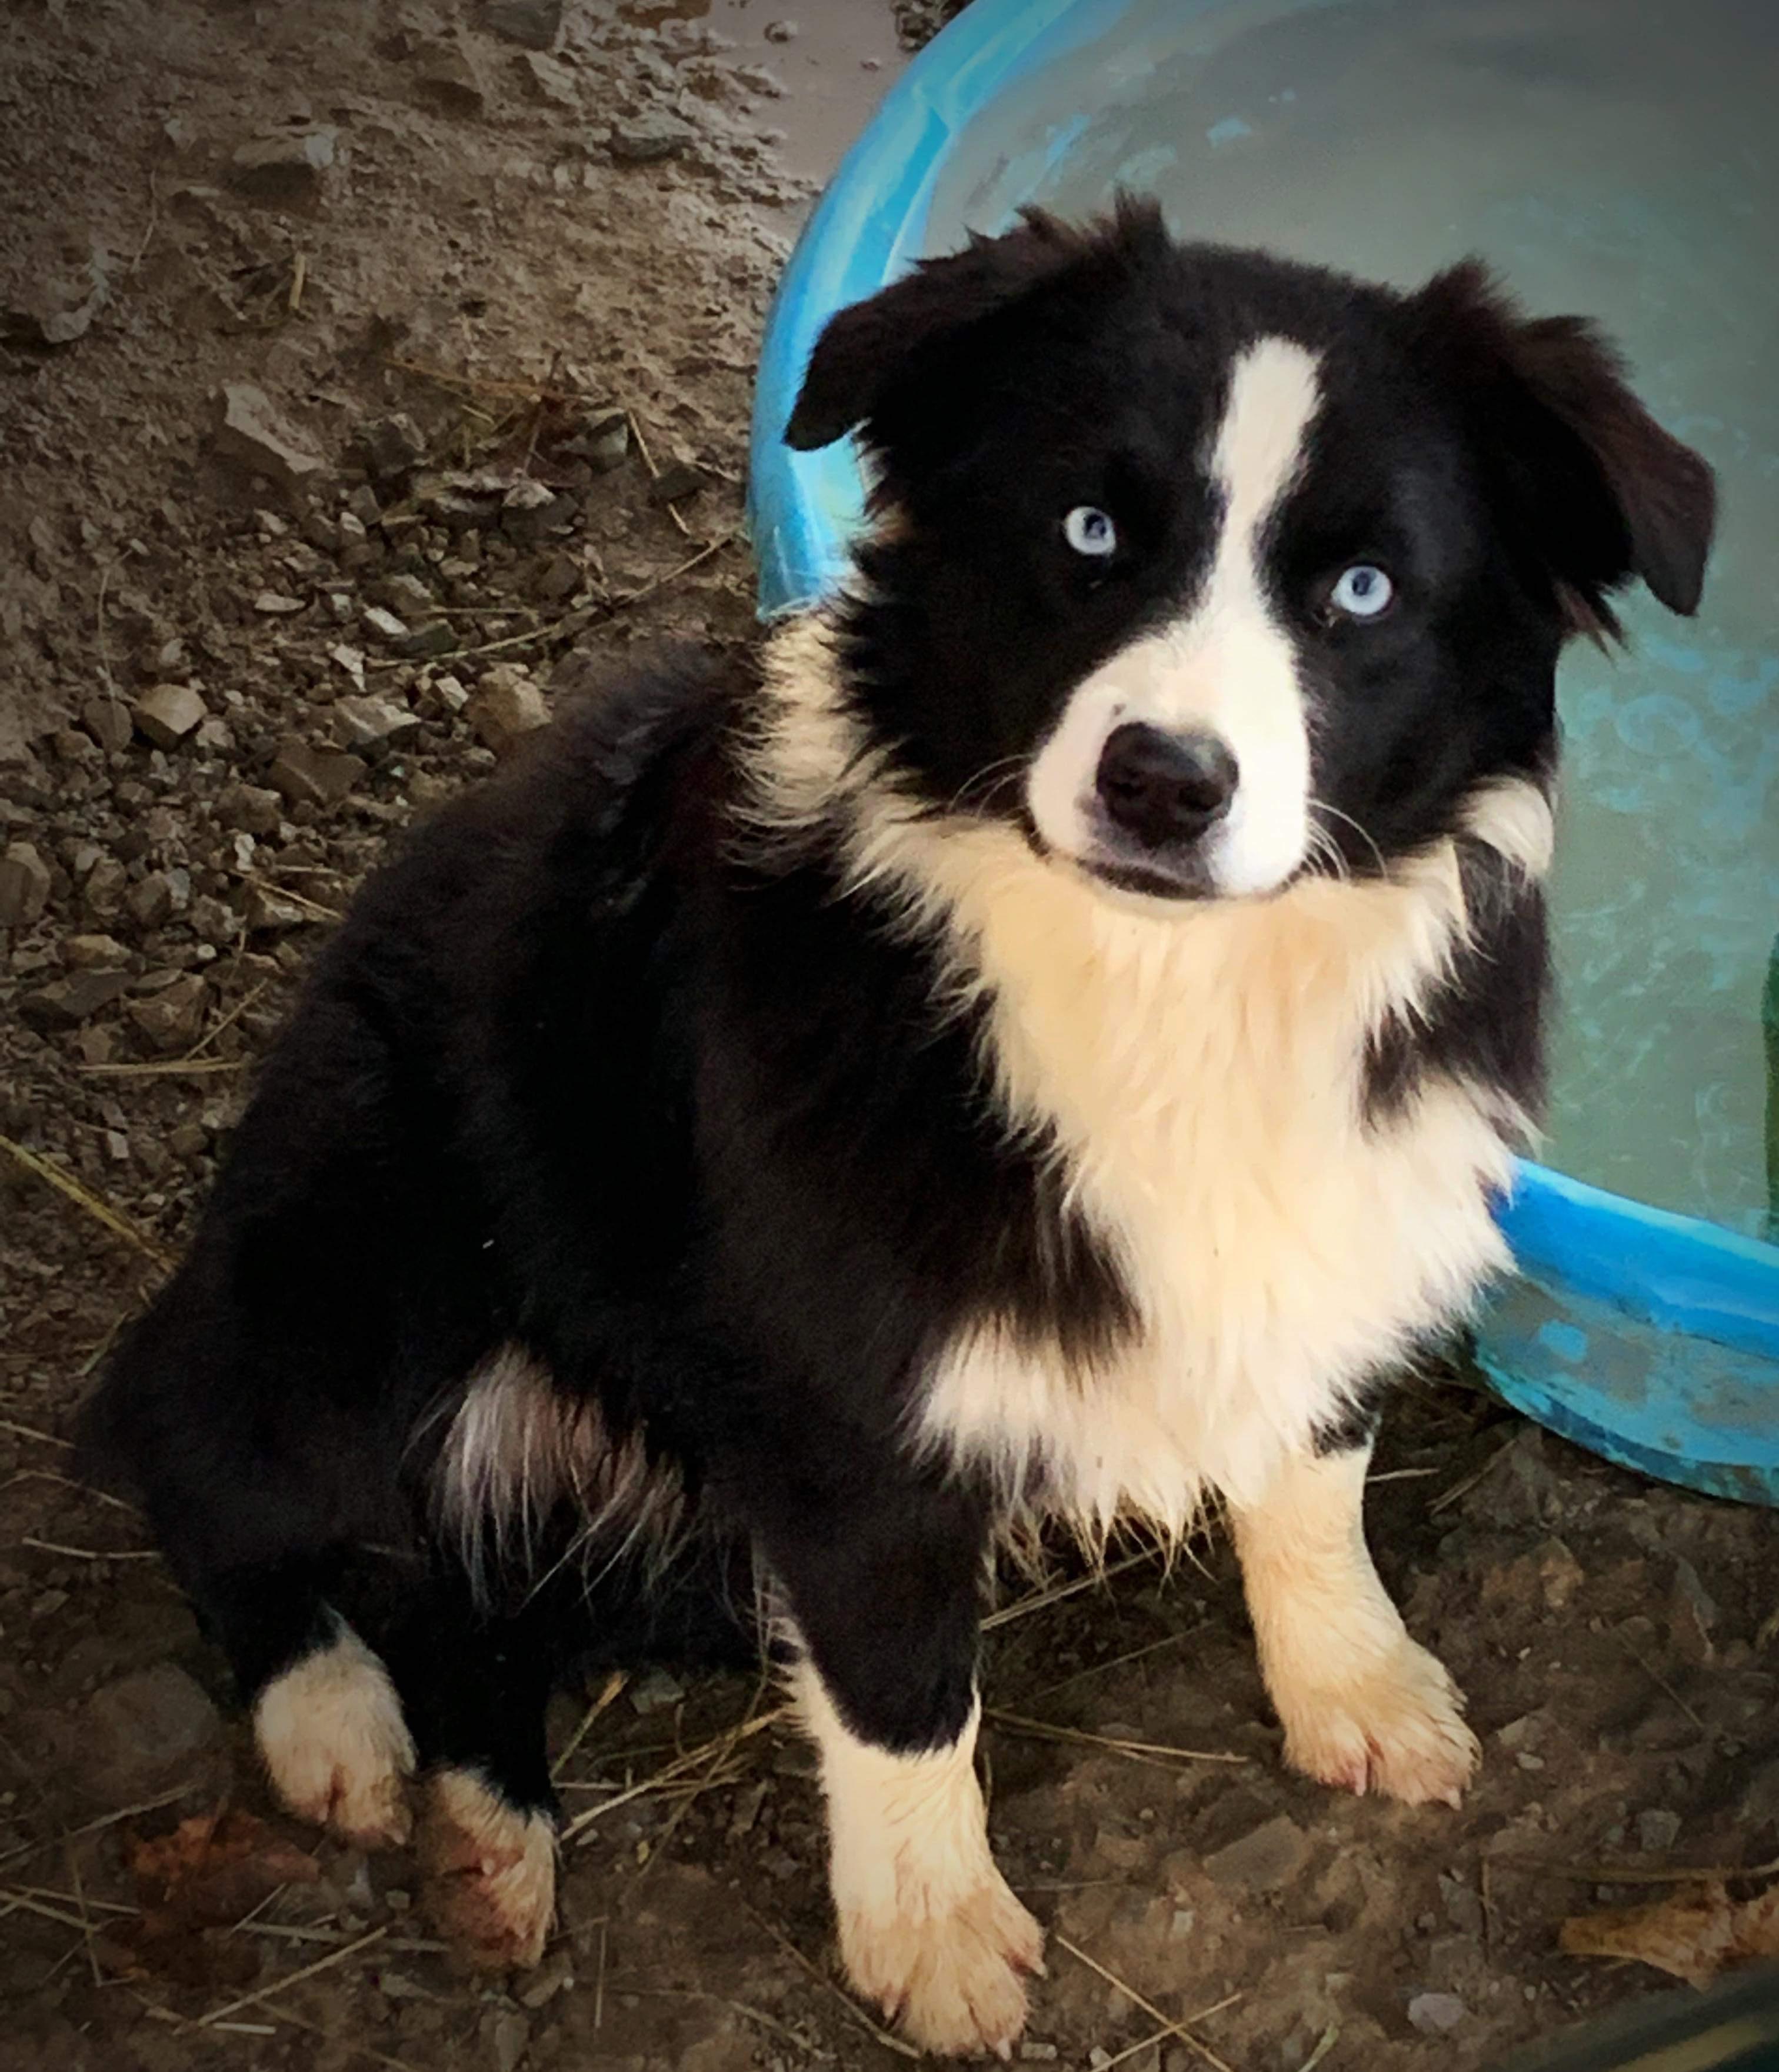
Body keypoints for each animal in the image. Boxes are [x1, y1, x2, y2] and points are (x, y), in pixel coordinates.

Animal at [83, 199, 1714, 2056]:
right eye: (1090, 528)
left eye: (1363, 589)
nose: (1165, 781)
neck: (1165, 982)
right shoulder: (848, 1411)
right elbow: (907, 1684)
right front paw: (934, 1933)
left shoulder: (1337, 1223)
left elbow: (1314, 1466)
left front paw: (1356, 1686)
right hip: (372, 1258)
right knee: (187, 1440)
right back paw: (334, 1718)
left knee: (482, 1606)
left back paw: (489, 1833)